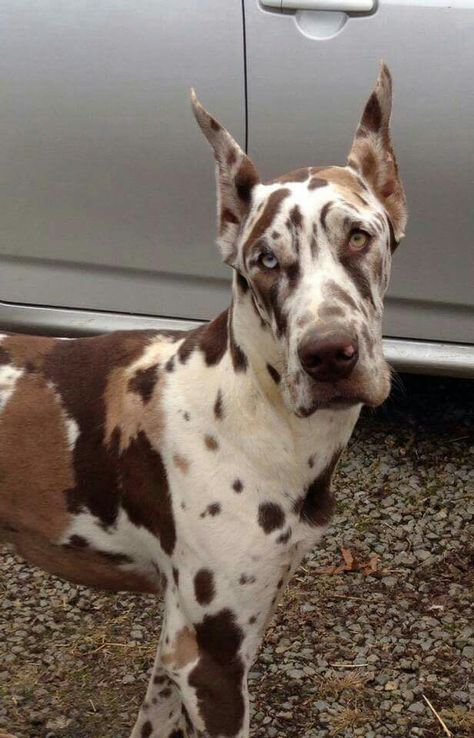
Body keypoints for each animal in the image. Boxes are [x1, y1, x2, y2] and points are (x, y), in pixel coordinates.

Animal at [0, 63, 408, 736]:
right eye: (264, 259)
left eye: (358, 235)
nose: (328, 355)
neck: (251, 408)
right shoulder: (212, 659)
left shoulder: (179, 646)